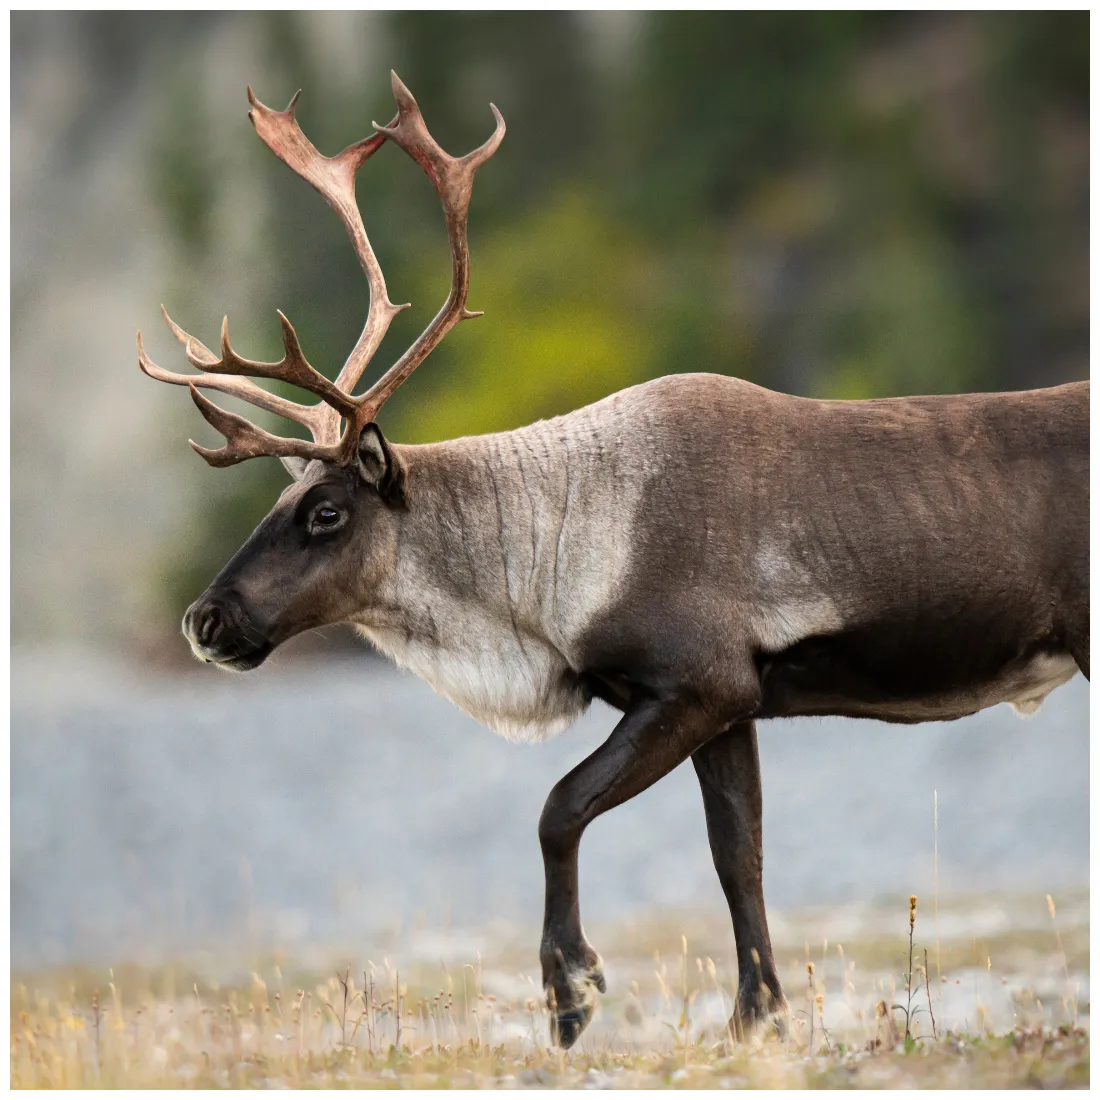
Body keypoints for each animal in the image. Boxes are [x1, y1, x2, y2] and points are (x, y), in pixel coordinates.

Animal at [138, 73, 1089, 1049]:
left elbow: (559, 807)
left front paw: (572, 991)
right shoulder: (732, 702)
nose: (205, 620)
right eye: (280, 500)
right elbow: (738, 854)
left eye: (325, 511)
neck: (552, 559)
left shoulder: (696, 684)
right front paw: (758, 1017)